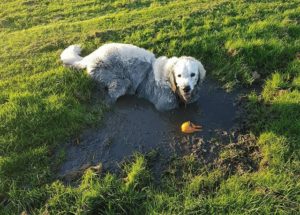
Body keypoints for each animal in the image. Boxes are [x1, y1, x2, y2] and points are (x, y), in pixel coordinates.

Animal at [61, 43, 206, 111]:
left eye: (193, 74)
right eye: (179, 75)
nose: (186, 88)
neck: (168, 81)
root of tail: (91, 55)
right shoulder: (164, 104)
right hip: (119, 82)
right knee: (110, 95)